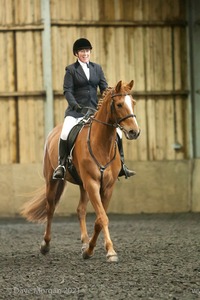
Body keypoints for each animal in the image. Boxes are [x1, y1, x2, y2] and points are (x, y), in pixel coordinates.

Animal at [21, 79, 140, 262]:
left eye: (133, 103)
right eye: (119, 104)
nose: (135, 132)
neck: (102, 144)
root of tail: (54, 131)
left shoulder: (107, 186)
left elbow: (99, 220)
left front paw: (90, 249)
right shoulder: (92, 183)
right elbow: (102, 218)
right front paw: (110, 252)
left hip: (82, 185)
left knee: (80, 210)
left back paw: (84, 242)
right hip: (52, 180)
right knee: (50, 207)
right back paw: (45, 245)